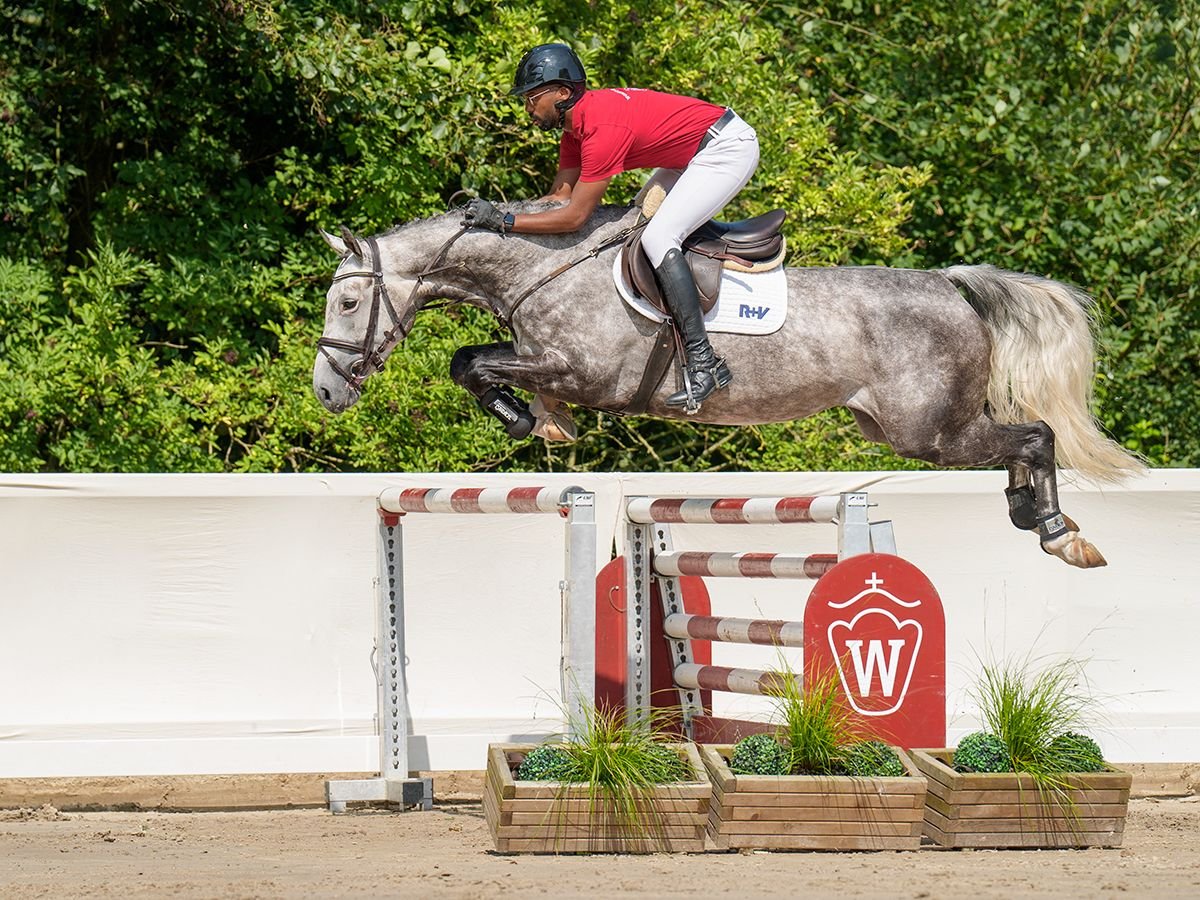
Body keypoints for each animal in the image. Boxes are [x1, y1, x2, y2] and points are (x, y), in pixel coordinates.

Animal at [309, 200, 1142, 566]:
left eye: (347, 302)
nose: (324, 392)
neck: (539, 269)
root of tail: (948, 282)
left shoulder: (586, 371)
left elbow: (477, 363)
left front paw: (525, 417)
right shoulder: (546, 359)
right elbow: (468, 361)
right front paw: (529, 419)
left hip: (928, 433)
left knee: (1034, 434)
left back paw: (1056, 530)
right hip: (905, 429)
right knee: (1022, 440)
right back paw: (1032, 515)